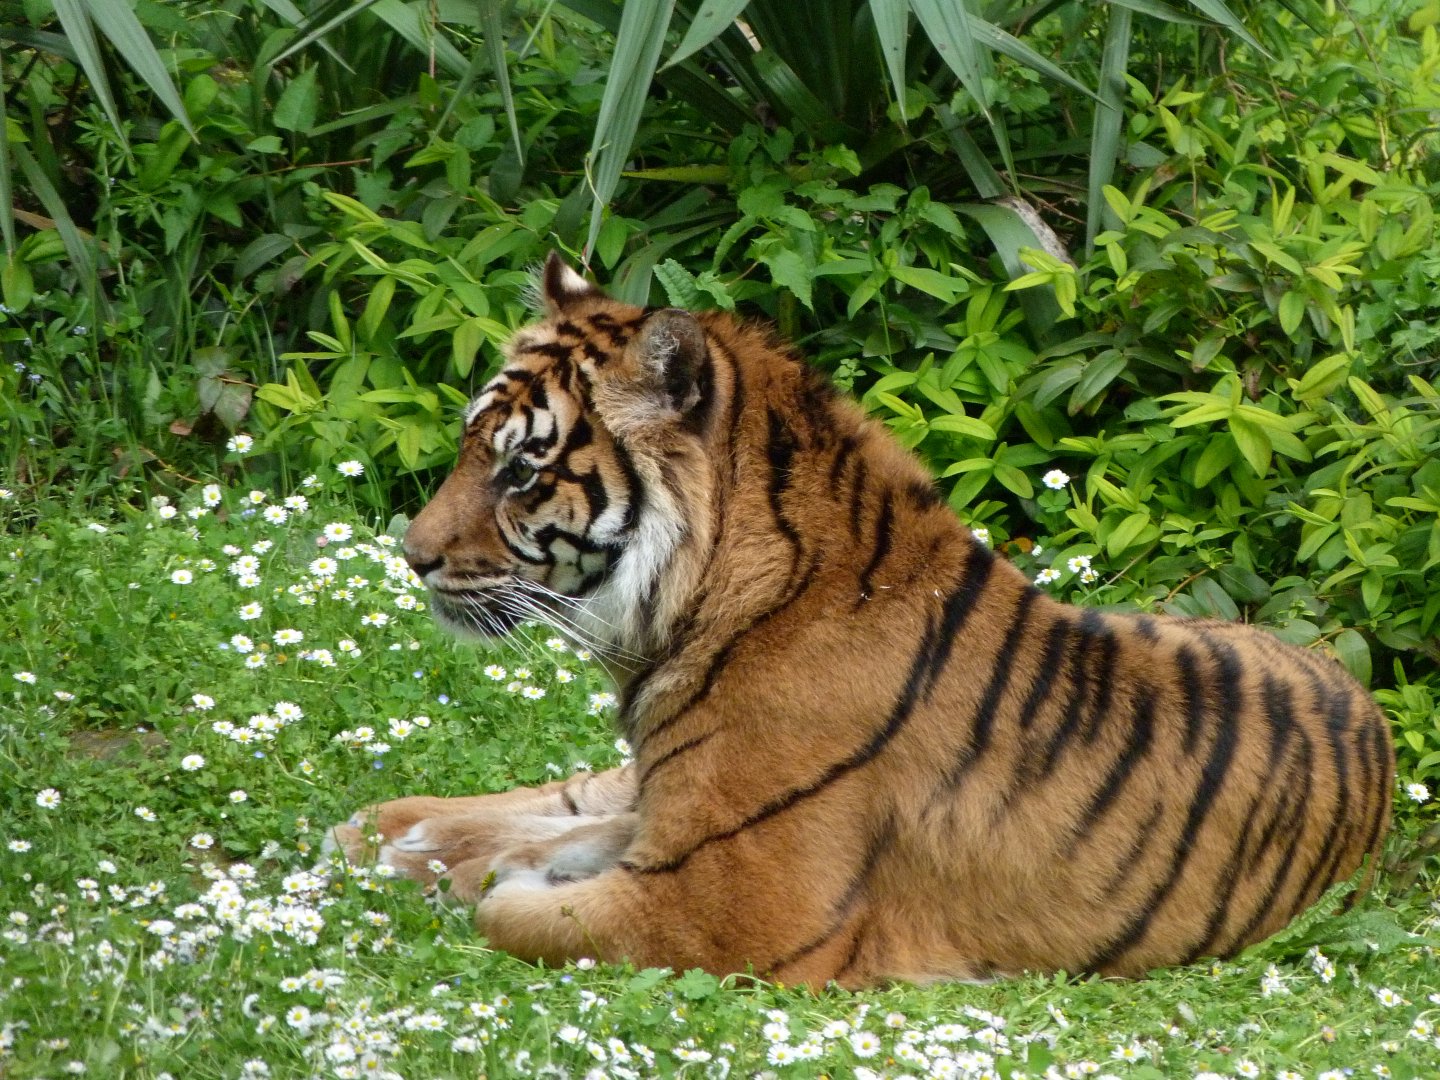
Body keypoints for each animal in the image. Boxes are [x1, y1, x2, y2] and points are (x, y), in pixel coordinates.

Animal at [327, 253, 1394, 987]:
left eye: (520, 469)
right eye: (474, 445)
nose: (410, 554)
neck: (710, 605)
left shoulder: (729, 908)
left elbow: (515, 914)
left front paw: (490, 884)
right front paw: (444, 855)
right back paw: (393, 829)